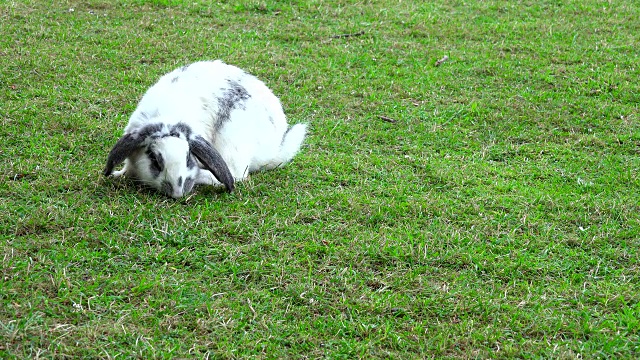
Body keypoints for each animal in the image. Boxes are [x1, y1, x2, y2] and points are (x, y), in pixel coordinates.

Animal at [103, 60, 308, 198]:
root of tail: (273, 149)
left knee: (235, 175)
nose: (178, 191)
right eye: (154, 159)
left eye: (188, 157)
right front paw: (118, 175)